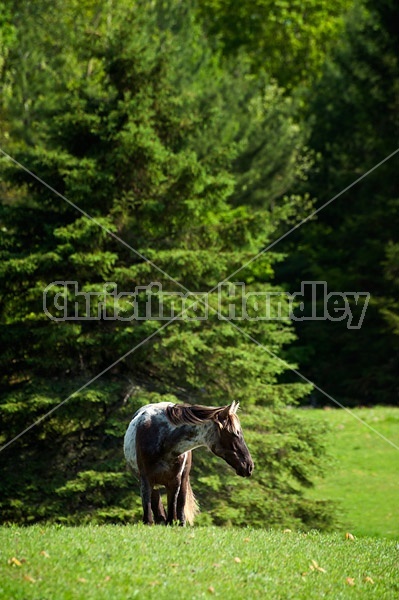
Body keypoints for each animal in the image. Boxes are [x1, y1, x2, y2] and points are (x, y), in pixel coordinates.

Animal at [125, 404, 255, 524]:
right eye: (234, 433)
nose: (249, 466)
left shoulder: (175, 481)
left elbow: (173, 511)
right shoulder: (145, 479)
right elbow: (149, 511)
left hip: (182, 480)